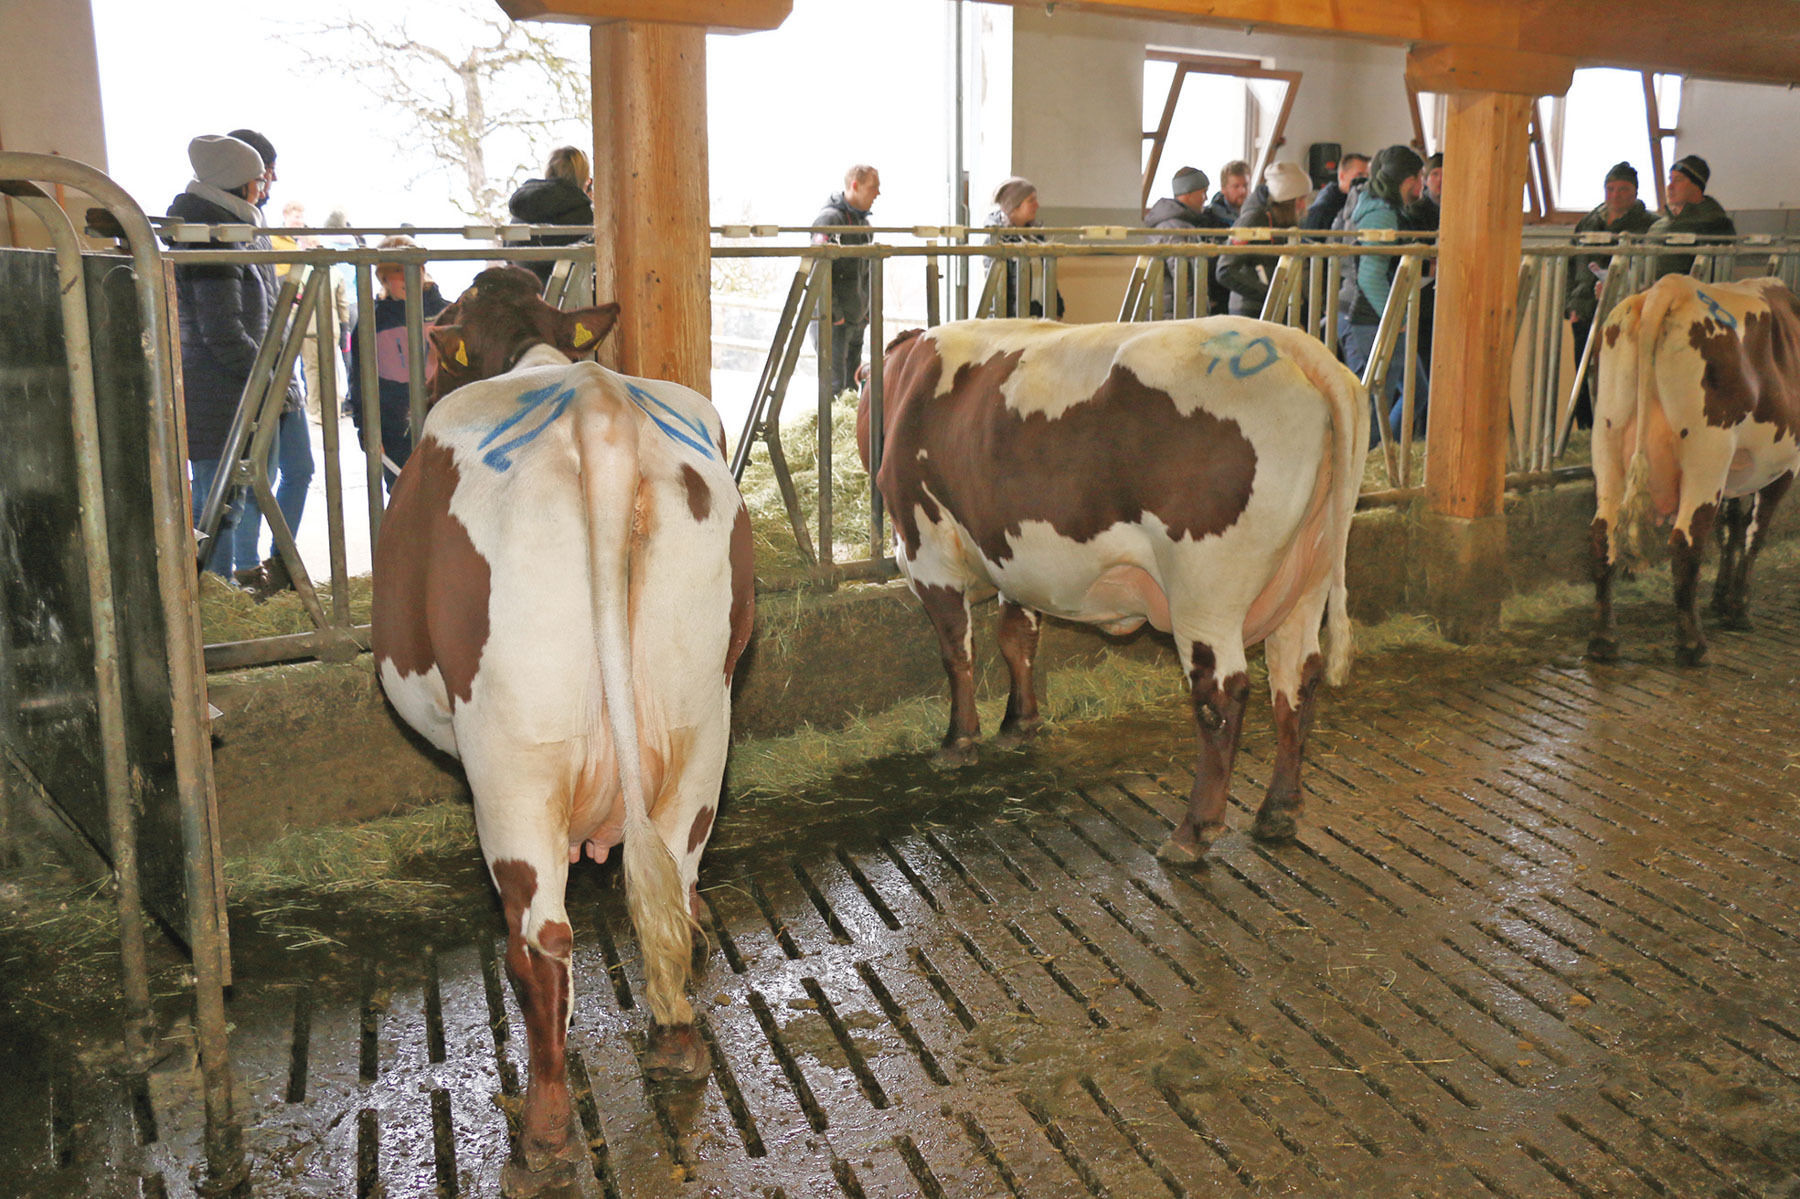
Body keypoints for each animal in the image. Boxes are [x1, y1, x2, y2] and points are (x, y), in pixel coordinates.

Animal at [372, 266, 752, 1188]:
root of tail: (597, 409)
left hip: (516, 758)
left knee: (541, 938)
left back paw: (543, 1135)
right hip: (703, 721)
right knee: (675, 881)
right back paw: (676, 1041)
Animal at [856, 316, 1360, 860]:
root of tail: (1294, 346)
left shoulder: (925, 547)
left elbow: (956, 650)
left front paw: (958, 740)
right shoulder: (1016, 560)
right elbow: (1017, 638)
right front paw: (1019, 724)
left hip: (1207, 590)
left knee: (1222, 695)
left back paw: (1193, 831)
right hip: (1308, 579)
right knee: (1296, 680)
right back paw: (1278, 812)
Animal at [1598, 273, 1792, 662]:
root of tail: (1669, 288)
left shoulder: (1737, 473)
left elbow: (1731, 528)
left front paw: (1721, 599)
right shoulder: (1785, 465)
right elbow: (1754, 533)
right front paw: (1738, 609)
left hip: (1607, 440)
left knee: (1602, 537)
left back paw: (1604, 640)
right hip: (1707, 454)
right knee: (1685, 543)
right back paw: (1692, 646)